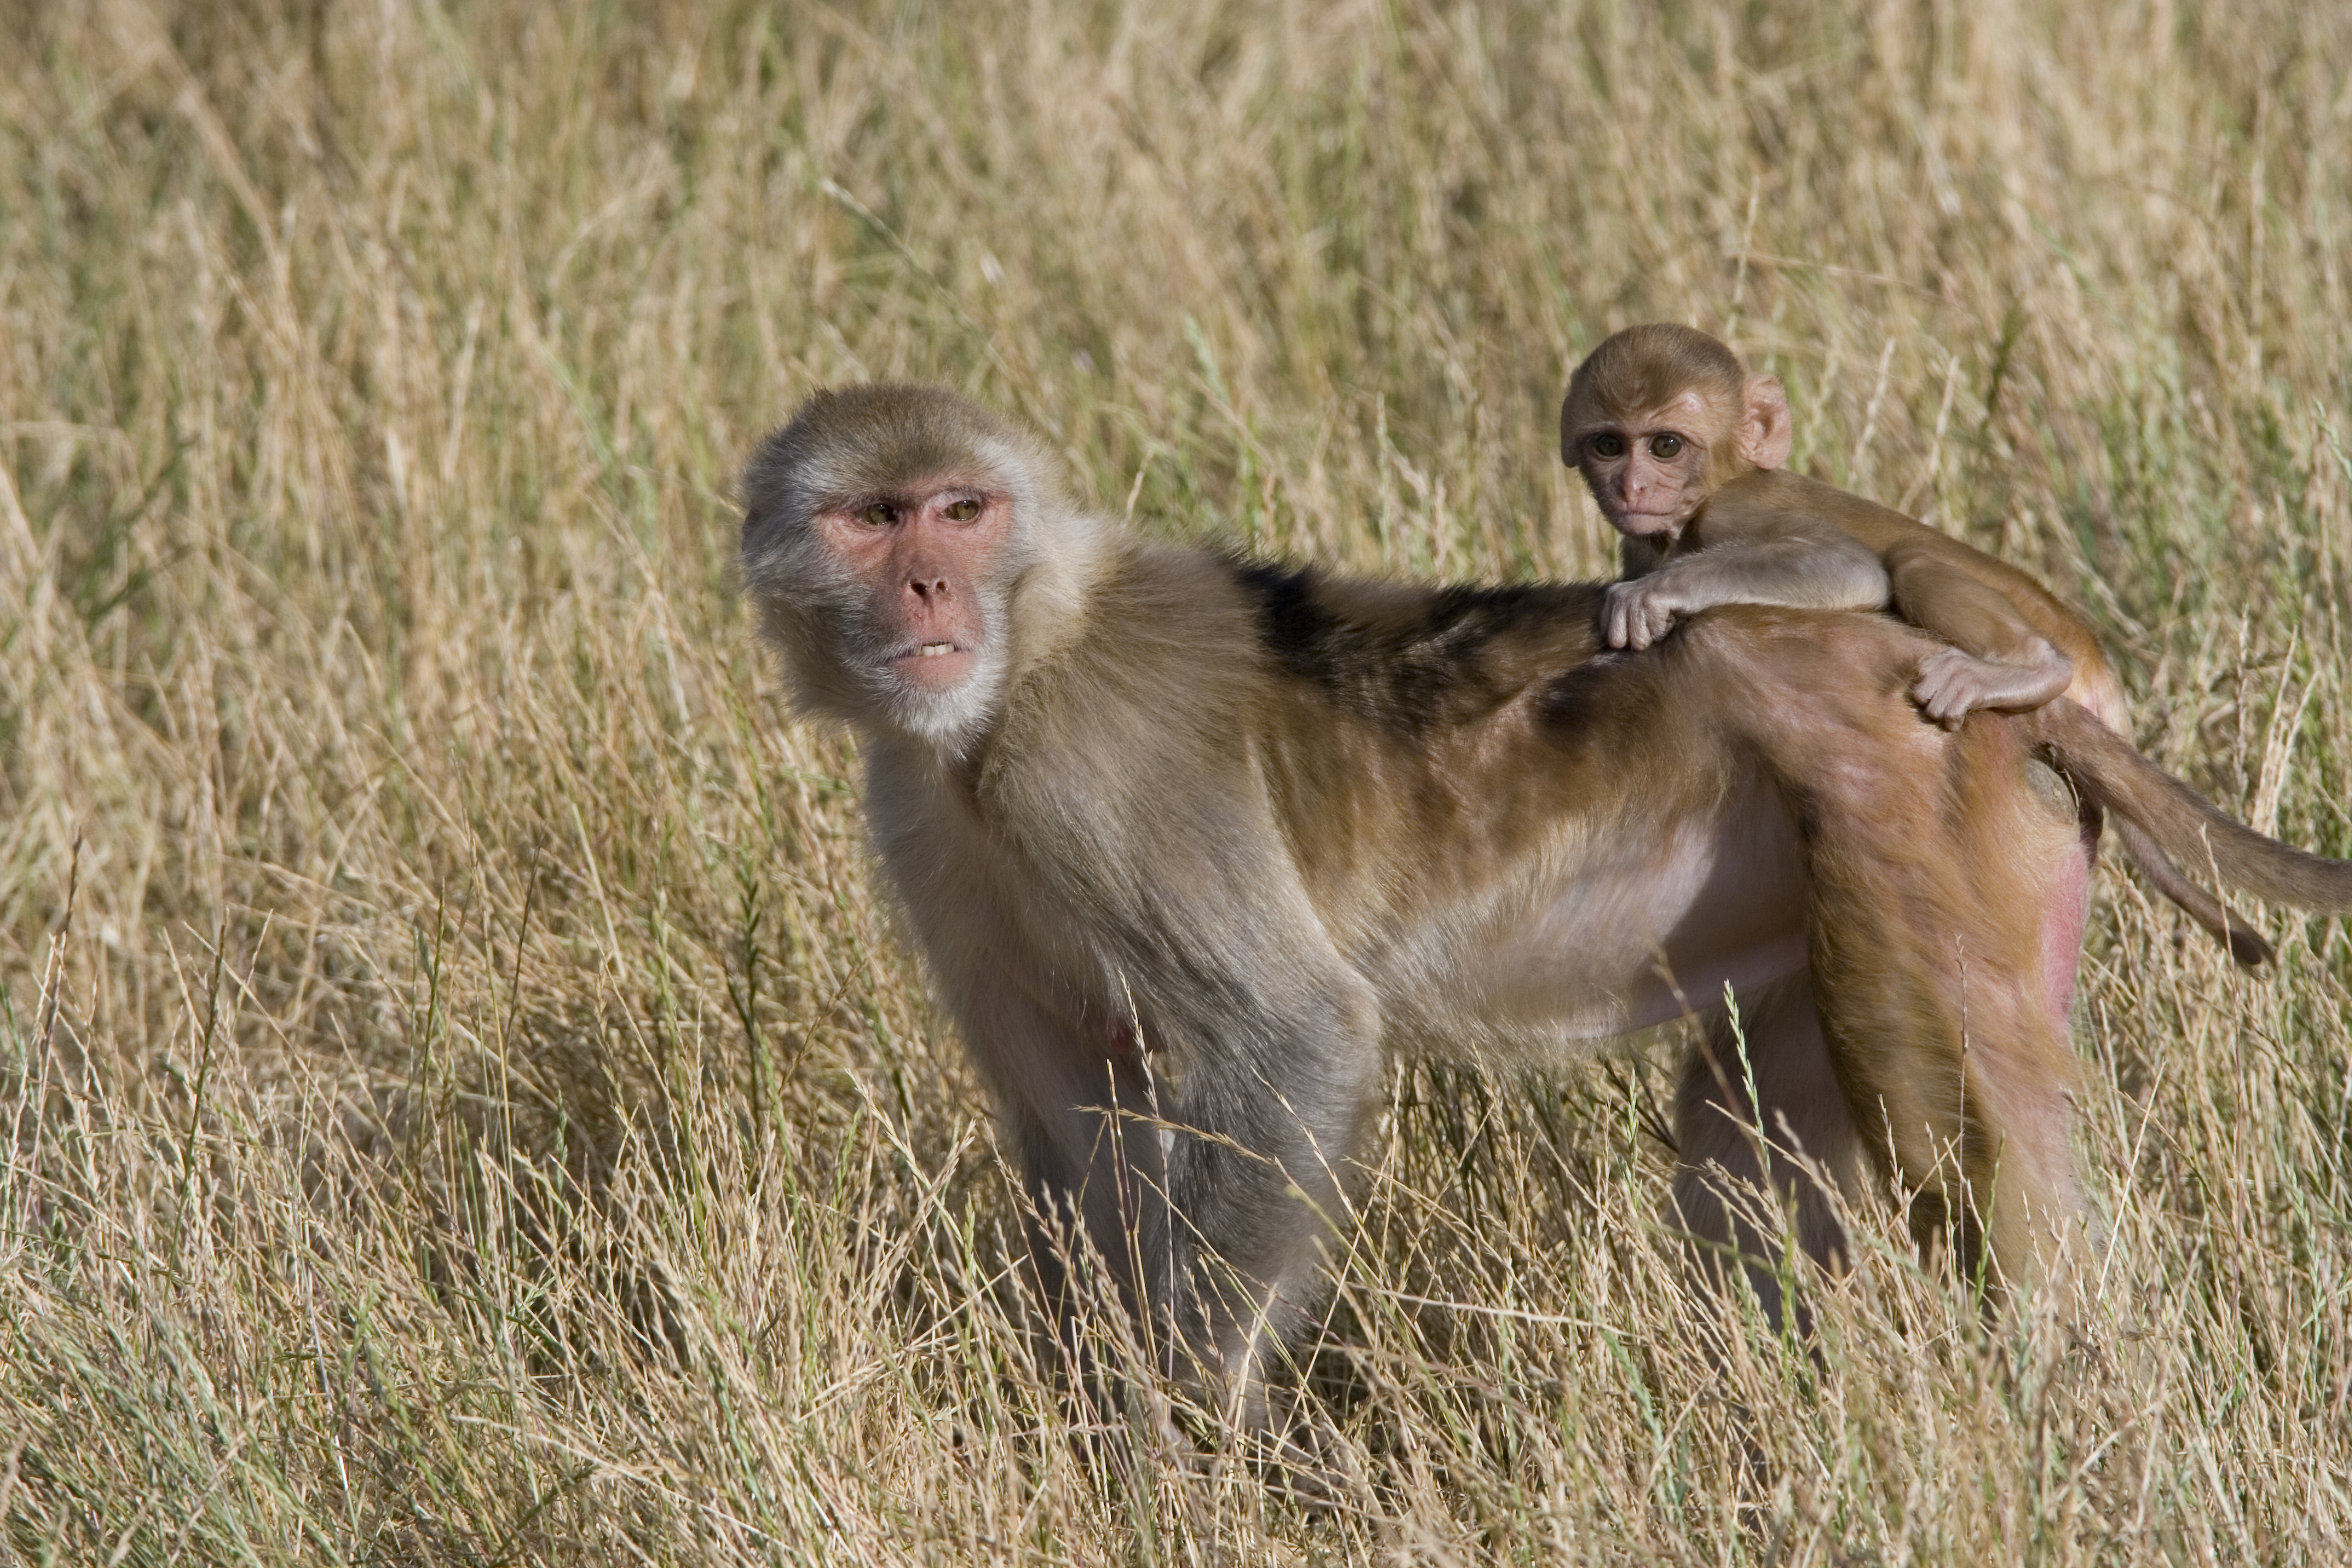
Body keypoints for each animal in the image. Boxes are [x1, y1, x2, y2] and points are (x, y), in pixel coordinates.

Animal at [1561, 319, 2276, 968]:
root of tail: (2098, 664)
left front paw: (1654, 595)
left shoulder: (1733, 512)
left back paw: (2026, 669)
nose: (1632, 487)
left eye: (1665, 445)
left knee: (1911, 562)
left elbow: (1848, 568)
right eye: (1609, 445)